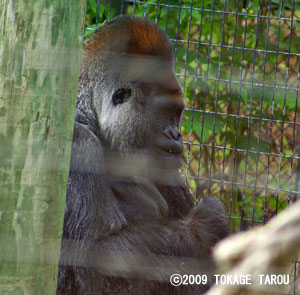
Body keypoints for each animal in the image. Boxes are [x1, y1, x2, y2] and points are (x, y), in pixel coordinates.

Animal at [56, 15, 227, 295]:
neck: (91, 118)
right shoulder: (77, 144)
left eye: (177, 113)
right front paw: (206, 226)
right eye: (166, 111)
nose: (176, 135)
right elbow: (95, 262)